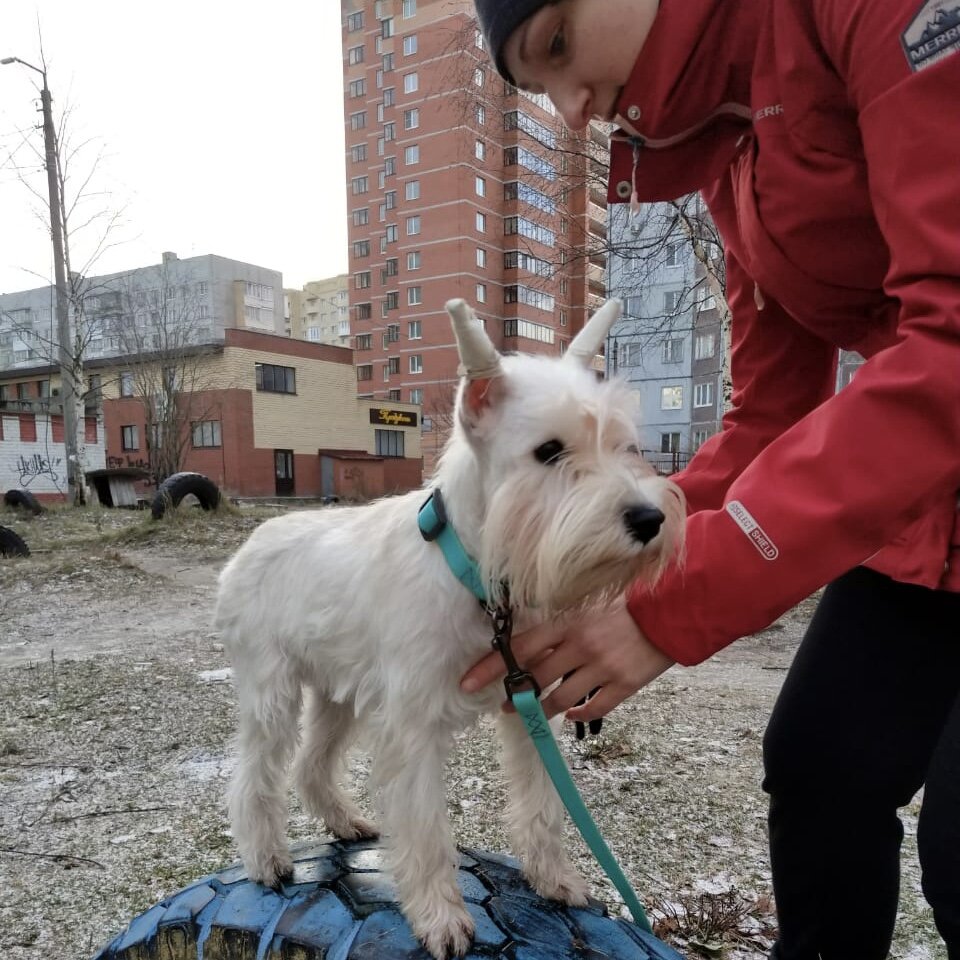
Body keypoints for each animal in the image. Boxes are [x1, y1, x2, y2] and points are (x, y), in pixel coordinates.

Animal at [218, 296, 684, 956]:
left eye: (624, 445)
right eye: (549, 451)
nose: (648, 519)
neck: (481, 580)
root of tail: (249, 544)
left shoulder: (528, 706)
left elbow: (542, 806)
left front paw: (555, 878)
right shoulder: (413, 731)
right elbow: (427, 830)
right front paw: (439, 915)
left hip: (338, 697)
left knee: (312, 765)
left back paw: (343, 822)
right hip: (271, 695)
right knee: (254, 777)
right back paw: (265, 859)